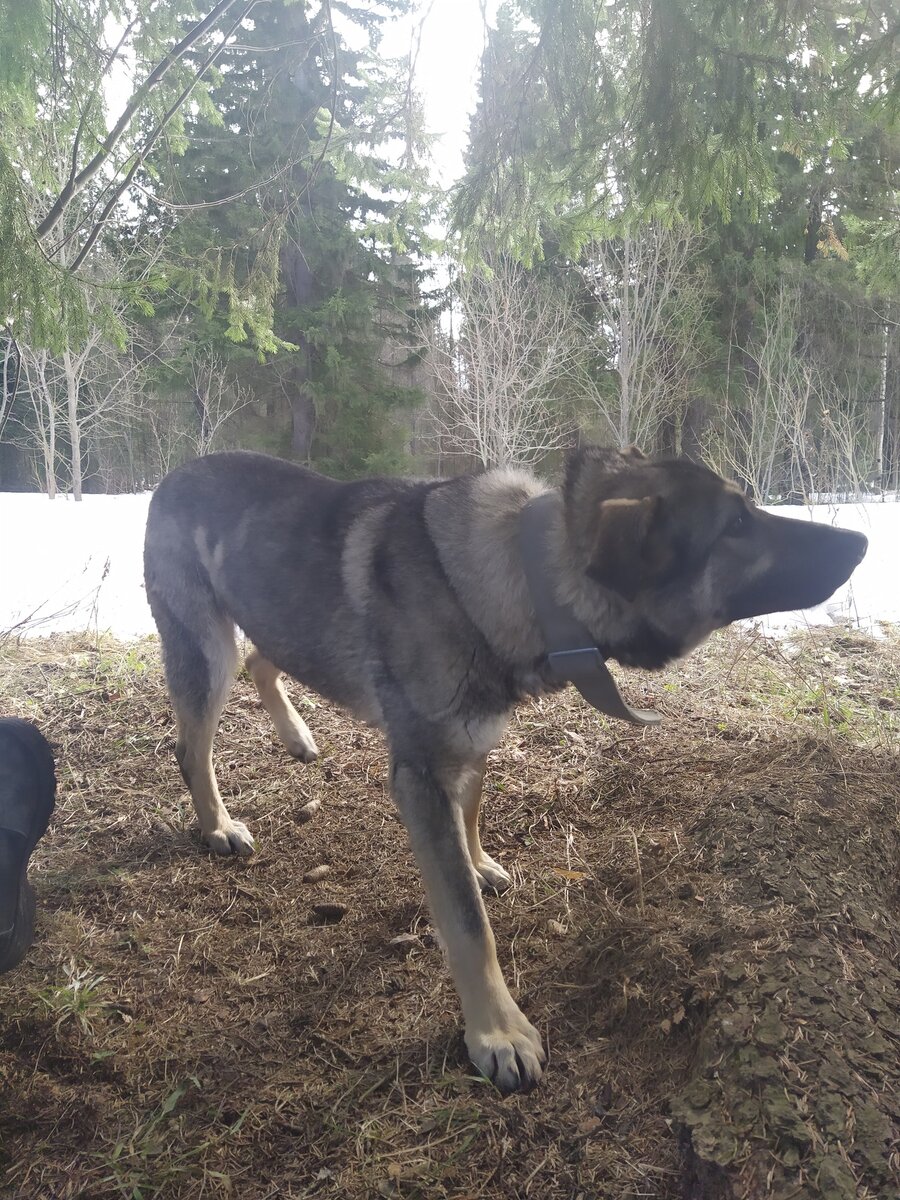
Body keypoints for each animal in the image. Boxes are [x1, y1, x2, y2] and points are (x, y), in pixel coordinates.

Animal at [144, 446, 868, 1094]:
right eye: (736, 524)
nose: (862, 541)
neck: (520, 574)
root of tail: (175, 472)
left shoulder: (470, 744)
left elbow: (472, 810)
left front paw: (479, 862)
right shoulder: (420, 778)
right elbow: (469, 928)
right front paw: (497, 1033)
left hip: (275, 624)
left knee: (263, 661)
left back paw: (296, 734)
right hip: (205, 650)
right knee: (192, 745)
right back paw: (218, 824)